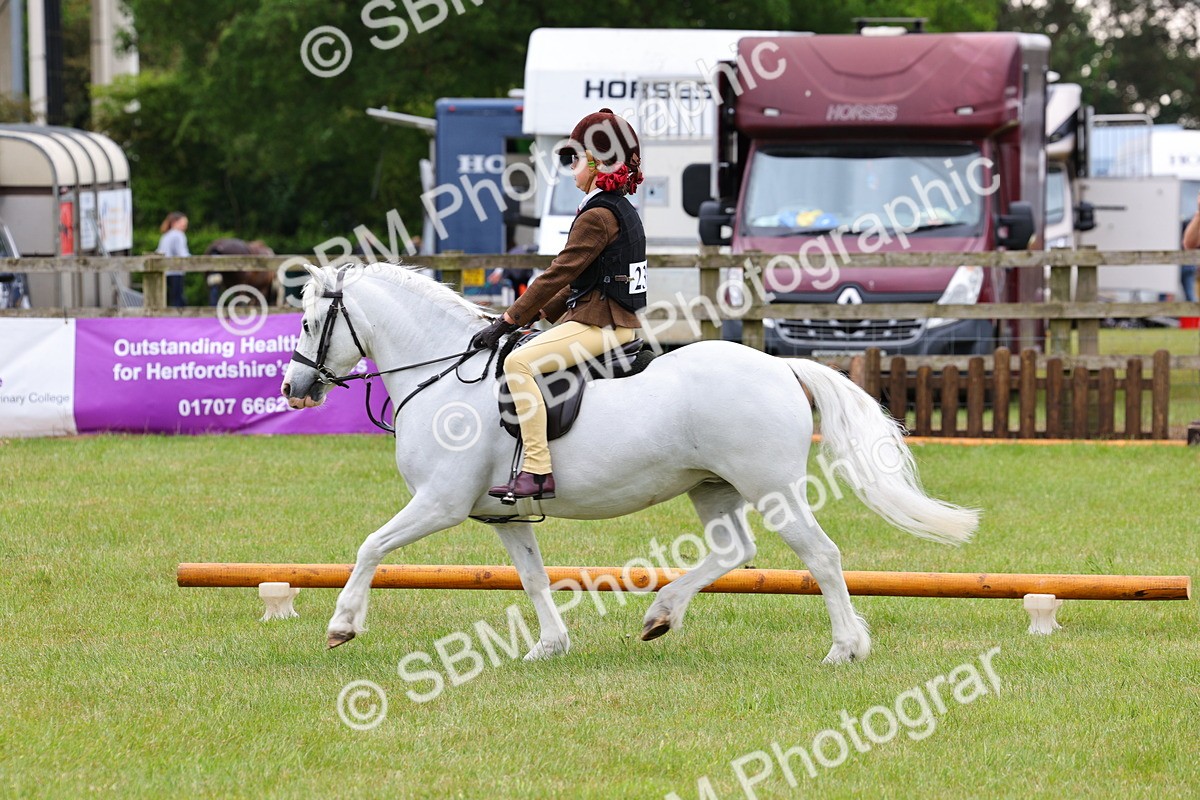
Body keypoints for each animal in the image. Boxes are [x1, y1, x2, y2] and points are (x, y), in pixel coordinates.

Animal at [280, 263, 979, 664]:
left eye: (312, 322)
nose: (293, 388)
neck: (445, 374)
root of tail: (780, 366)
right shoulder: (503, 515)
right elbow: (532, 577)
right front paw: (550, 646)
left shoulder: (439, 503)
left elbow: (371, 546)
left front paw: (342, 625)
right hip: (713, 487)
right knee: (733, 551)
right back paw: (660, 614)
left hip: (771, 487)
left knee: (823, 557)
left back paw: (844, 649)